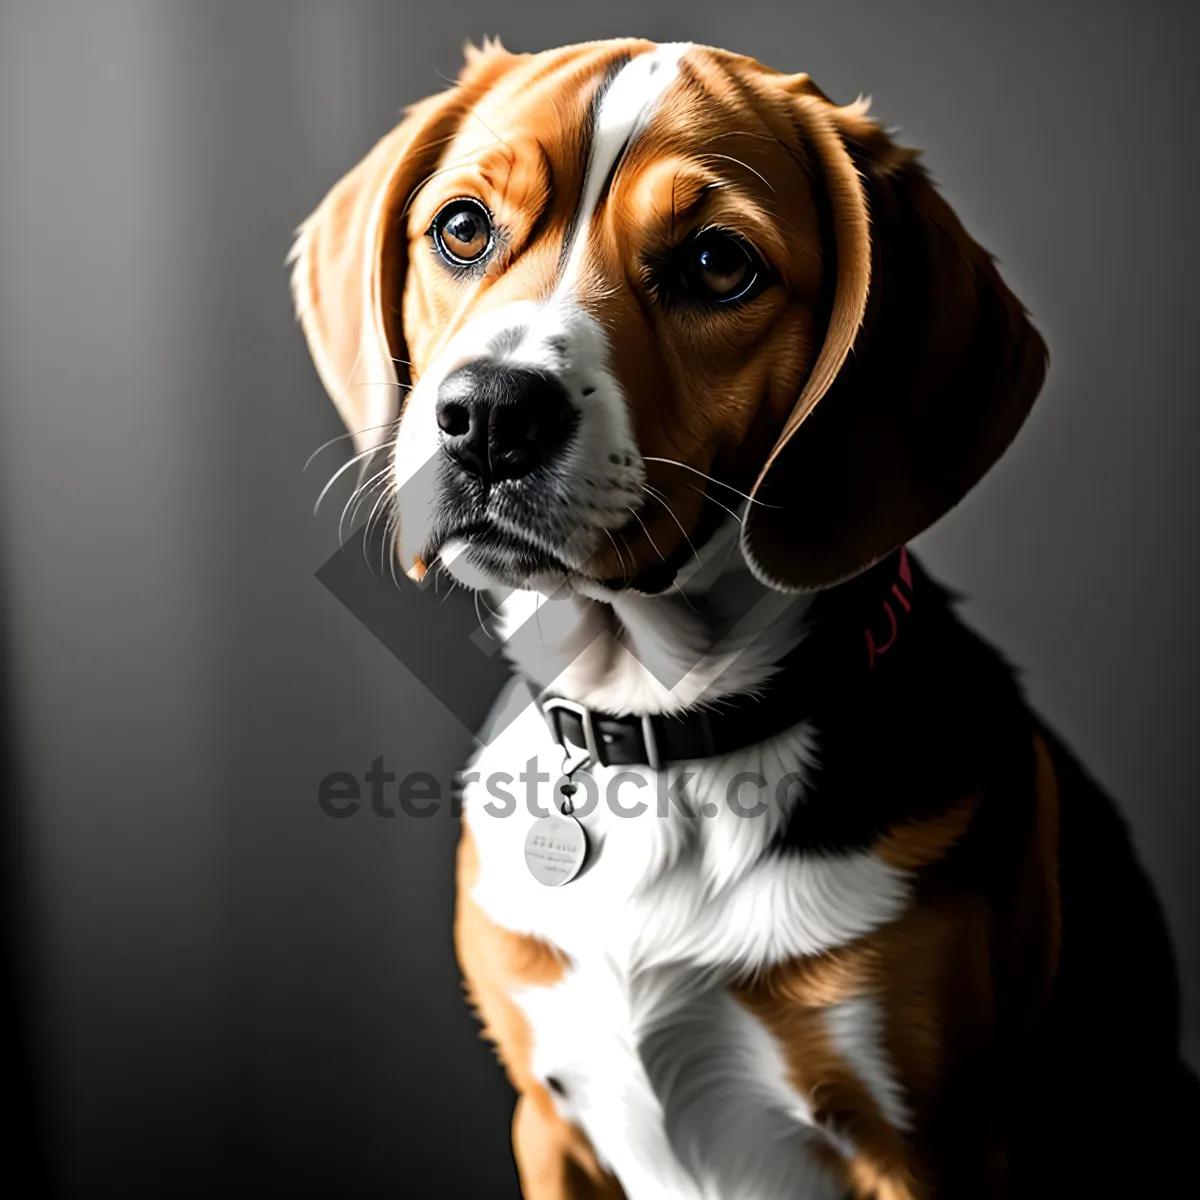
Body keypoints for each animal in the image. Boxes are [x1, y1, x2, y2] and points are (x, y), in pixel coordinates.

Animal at [292, 39, 1200, 1200]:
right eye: (462, 228)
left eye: (719, 264)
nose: (490, 412)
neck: (659, 730)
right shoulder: (549, 1124)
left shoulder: (930, 1150)